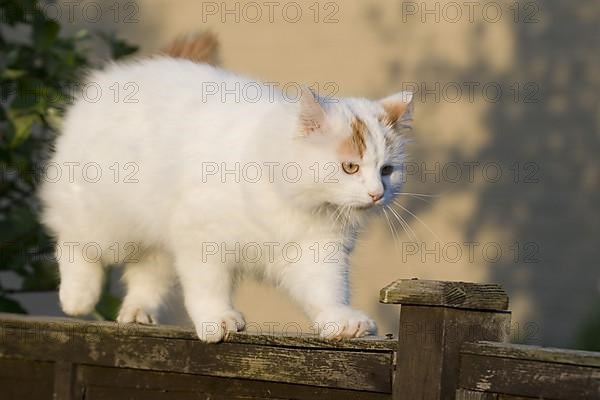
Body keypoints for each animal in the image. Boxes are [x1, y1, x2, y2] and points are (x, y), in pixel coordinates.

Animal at [37, 34, 412, 342]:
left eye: (387, 171)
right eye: (350, 167)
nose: (377, 194)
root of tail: (122, 74)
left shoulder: (318, 249)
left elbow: (327, 290)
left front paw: (340, 321)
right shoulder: (202, 237)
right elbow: (207, 287)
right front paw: (216, 319)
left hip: (156, 235)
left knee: (147, 272)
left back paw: (137, 312)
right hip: (104, 217)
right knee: (72, 241)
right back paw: (76, 297)